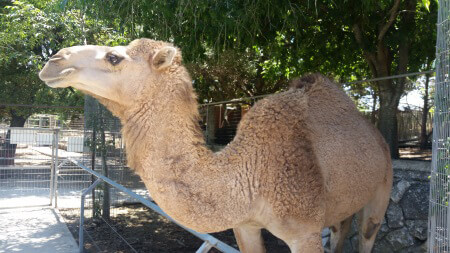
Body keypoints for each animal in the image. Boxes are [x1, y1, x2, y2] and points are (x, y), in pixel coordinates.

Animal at [40, 38, 394, 252]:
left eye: (114, 57)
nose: (54, 60)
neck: (251, 176)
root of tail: (378, 137)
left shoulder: (304, 231)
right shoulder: (245, 226)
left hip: (382, 187)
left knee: (368, 233)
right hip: (341, 203)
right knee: (341, 227)